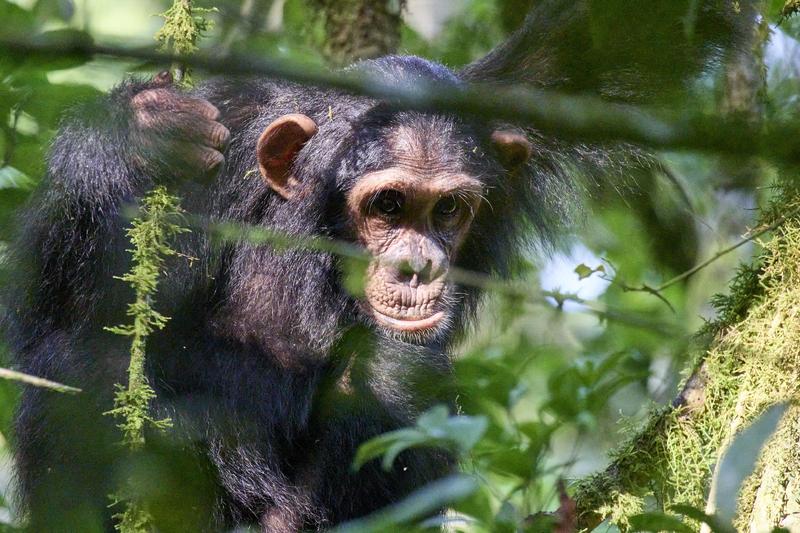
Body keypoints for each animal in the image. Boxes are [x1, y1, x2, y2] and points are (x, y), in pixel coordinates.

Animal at [4, 0, 752, 528]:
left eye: (447, 210)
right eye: (388, 205)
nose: (419, 266)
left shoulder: (507, 104)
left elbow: (616, 41)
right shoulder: (216, 151)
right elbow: (62, 316)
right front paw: (139, 129)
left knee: (394, 370)